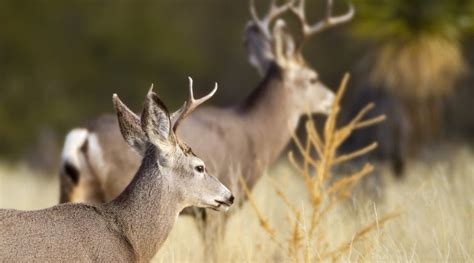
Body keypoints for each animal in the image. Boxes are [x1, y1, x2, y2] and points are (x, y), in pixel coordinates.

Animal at [59, 0, 354, 252]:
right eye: (313, 78)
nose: (335, 101)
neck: (256, 133)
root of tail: (83, 134)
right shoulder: (215, 209)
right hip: (111, 184)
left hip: (71, 186)